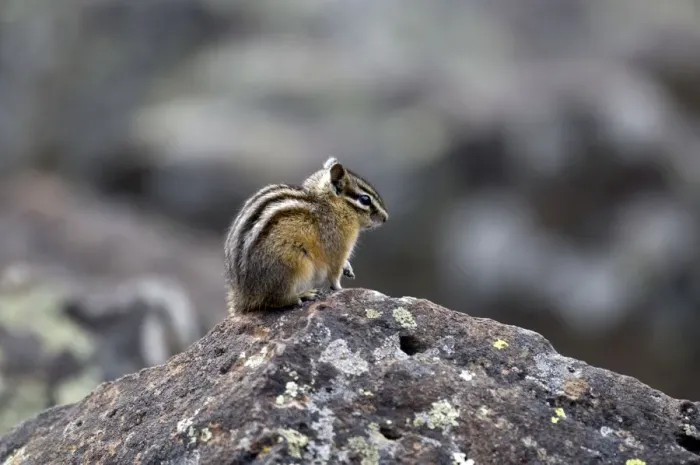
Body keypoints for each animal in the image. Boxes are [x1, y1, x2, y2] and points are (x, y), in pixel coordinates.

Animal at [224, 157, 389, 314]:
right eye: (365, 199)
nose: (386, 218)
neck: (330, 205)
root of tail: (245, 296)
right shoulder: (337, 247)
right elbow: (334, 274)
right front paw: (340, 289)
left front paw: (347, 267)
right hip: (291, 265)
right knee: (275, 300)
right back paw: (301, 295)